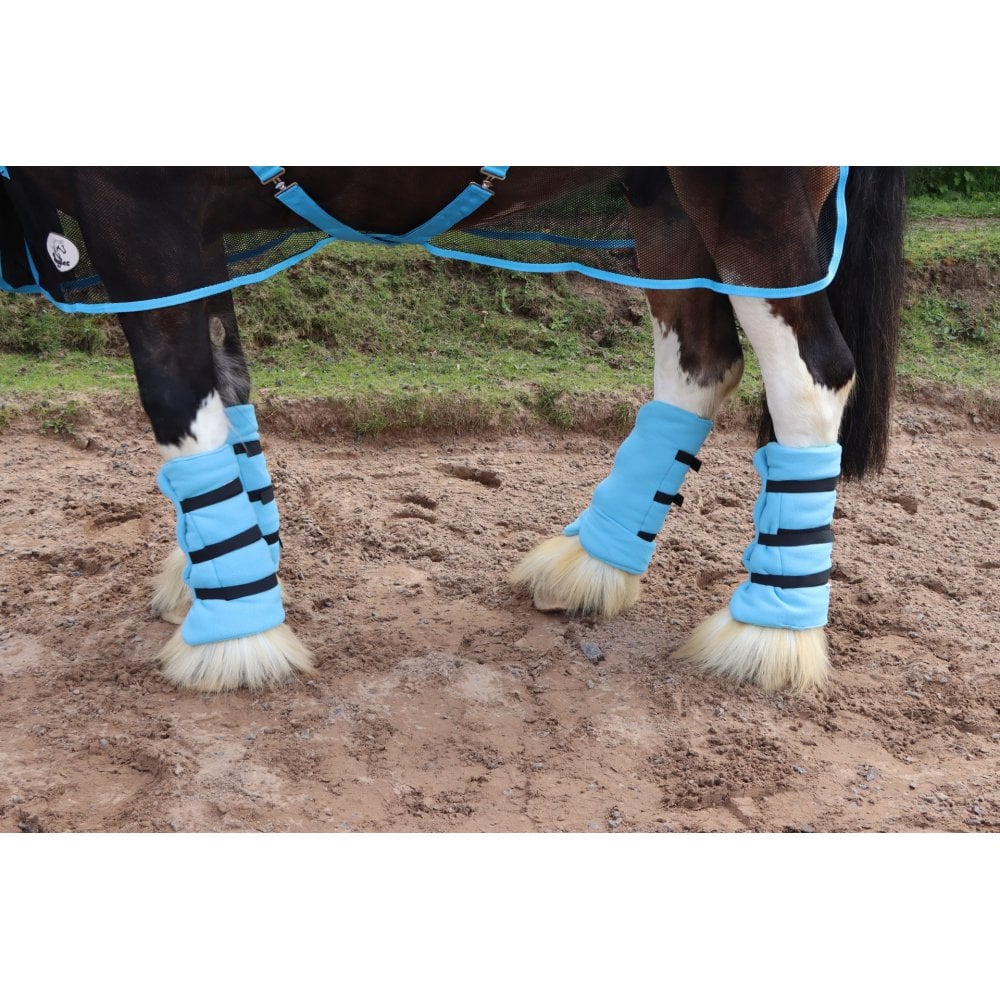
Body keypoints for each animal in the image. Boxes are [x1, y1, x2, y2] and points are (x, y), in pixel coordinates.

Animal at [0, 166, 906, 693]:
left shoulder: (138, 211)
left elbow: (178, 402)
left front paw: (231, 637)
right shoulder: (195, 228)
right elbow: (228, 387)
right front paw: (225, 573)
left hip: (752, 194)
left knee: (812, 377)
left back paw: (771, 631)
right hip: (663, 197)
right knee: (702, 361)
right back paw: (595, 561)